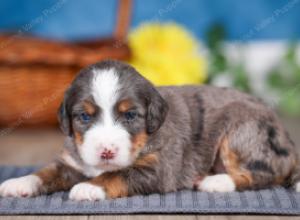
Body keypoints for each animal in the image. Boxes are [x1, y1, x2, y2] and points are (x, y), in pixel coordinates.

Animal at [0, 59, 300, 200]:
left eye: (131, 115)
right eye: (84, 117)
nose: (106, 152)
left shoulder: (158, 169)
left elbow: (117, 175)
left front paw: (88, 188)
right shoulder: (72, 162)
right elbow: (46, 172)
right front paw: (19, 182)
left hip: (242, 129)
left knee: (266, 173)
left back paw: (216, 182)